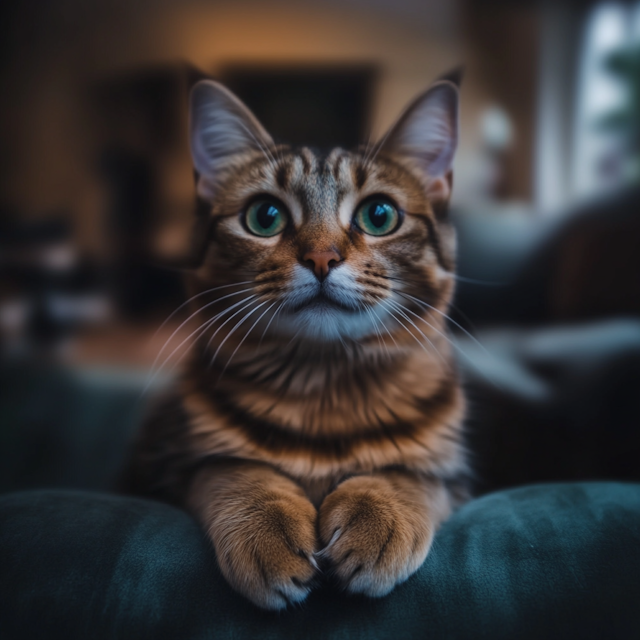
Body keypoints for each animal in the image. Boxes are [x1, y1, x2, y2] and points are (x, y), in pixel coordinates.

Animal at [124, 74, 470, 608]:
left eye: (380, 214)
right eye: (264, 216)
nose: (322, 257)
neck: (323, 386)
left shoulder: (456, 479)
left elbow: (412, 473)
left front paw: (380, 512)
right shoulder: (157, 467)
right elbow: (226, 467)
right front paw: (265, 524)